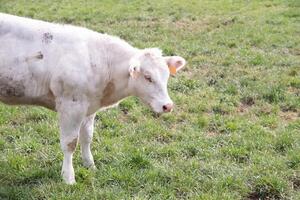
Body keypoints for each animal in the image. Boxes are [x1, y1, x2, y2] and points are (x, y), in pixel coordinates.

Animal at [0, 12, 186, 184]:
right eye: (148, 77)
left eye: (167, 76)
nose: (168, 106)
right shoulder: (71, 106)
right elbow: (70, 143)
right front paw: (68, 178)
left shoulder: (89, 108)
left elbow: (87, 137)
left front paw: (90, 165)